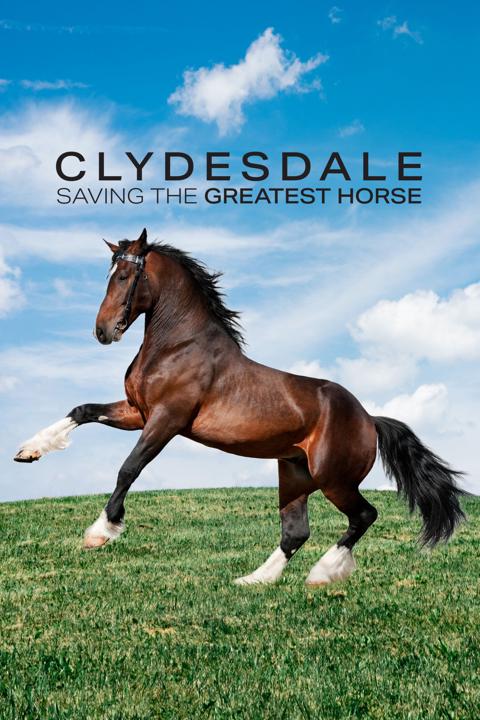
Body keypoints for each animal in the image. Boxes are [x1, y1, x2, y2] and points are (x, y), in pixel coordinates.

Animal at [14, 229, 466, 586]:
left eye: (125, 276)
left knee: (364, 516)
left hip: (333, 478)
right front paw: (29, 451)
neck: (178, 345)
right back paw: (254, 579)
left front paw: (100, 532)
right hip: (294, 474)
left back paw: (322, 573)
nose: (103, 331)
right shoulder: (136, 412)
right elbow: (82, 410)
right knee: (295, 531)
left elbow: (129, 468)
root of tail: (369, 420)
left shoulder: (166, 419)